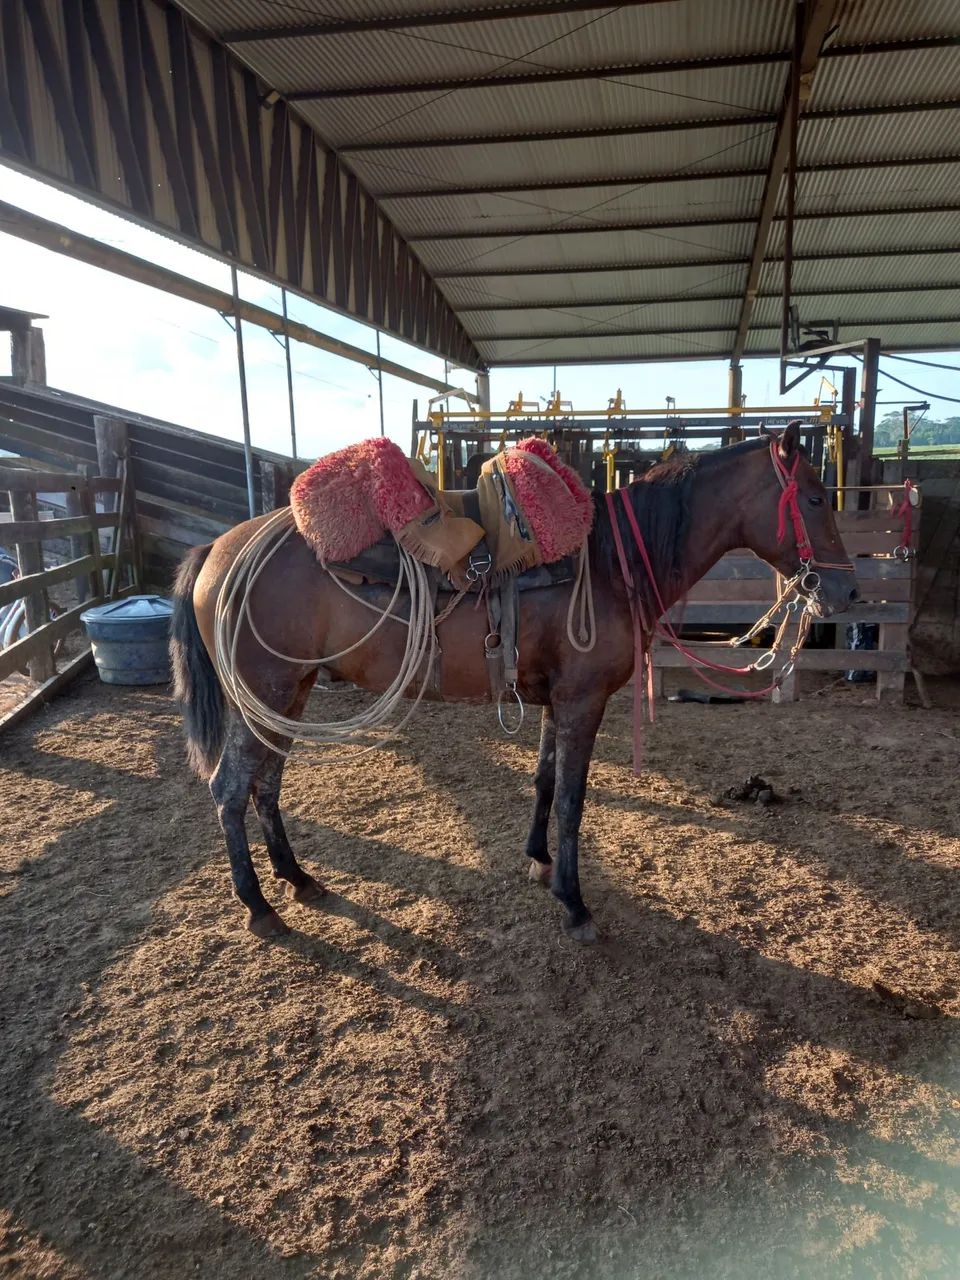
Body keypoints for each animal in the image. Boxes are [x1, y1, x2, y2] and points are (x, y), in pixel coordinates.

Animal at [170, 423, 859, 943]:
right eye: (815, 499)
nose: (846, 590)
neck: (609, 563)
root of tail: (220, 550)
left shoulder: (559, 699)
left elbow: (545, 780)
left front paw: (540, 862)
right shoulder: (583, 700)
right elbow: (574, 800)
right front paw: (576, 904)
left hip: (291, 694)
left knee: (265, 785)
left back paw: (297, 878)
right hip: (265, 694)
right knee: (230, 788)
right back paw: (259, 905)